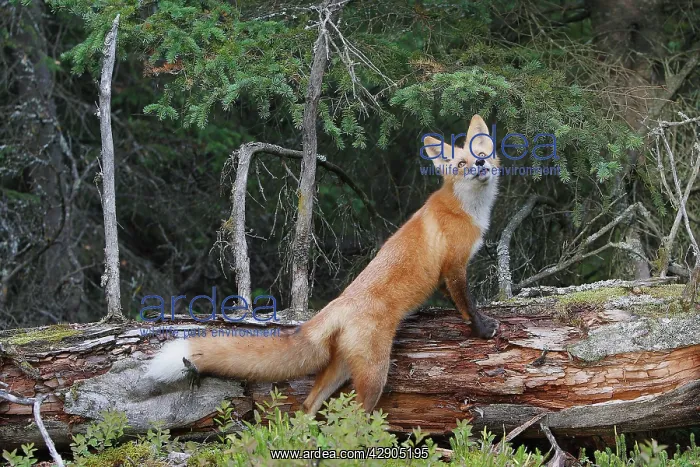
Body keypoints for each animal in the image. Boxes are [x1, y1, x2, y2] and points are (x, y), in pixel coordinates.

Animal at [146, 114, 501, 414]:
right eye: (462, 163)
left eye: (481, 152)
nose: (481, 163)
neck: (468, 210)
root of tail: (337, 305)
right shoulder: (454, 266)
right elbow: (466, 303)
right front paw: (482, 329)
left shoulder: (448, 272)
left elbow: (456, 299)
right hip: (374, 374)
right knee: (353, 418)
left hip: (342, 368)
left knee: (308, 406)